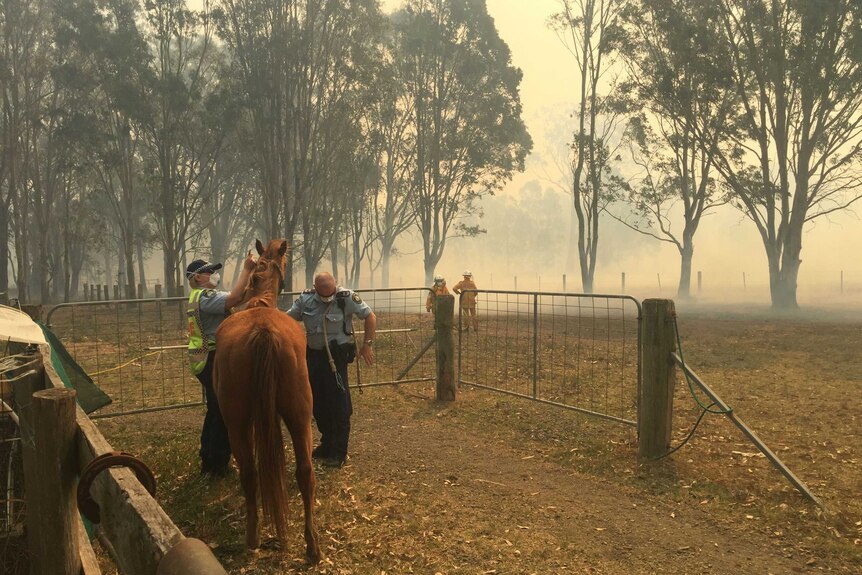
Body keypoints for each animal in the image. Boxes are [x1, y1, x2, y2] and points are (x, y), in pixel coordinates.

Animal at [214, 238, 322, 564]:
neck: (258, 303)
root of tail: (263, 331)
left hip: (236, 422)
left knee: (250, 473)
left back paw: (252, 537)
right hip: (300, 416)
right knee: (305, 473)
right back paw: (312, 547)